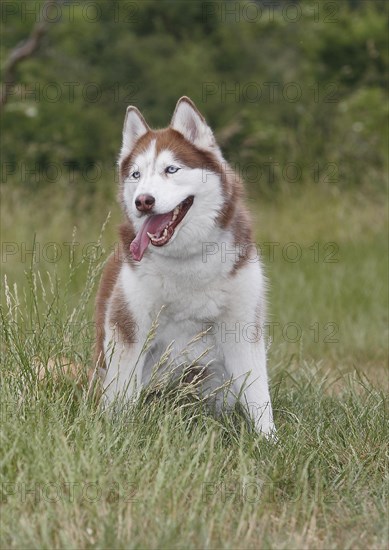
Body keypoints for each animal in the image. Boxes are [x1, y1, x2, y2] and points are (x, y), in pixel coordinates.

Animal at [94, 97, 274, 438]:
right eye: (136, 174)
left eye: (171, 169)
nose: (143, 201)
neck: (188, 261)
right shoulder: (129, 325)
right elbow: (121, 392)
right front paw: (119, 432)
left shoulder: (242, 326)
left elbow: (259, 395)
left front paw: (270, 441)